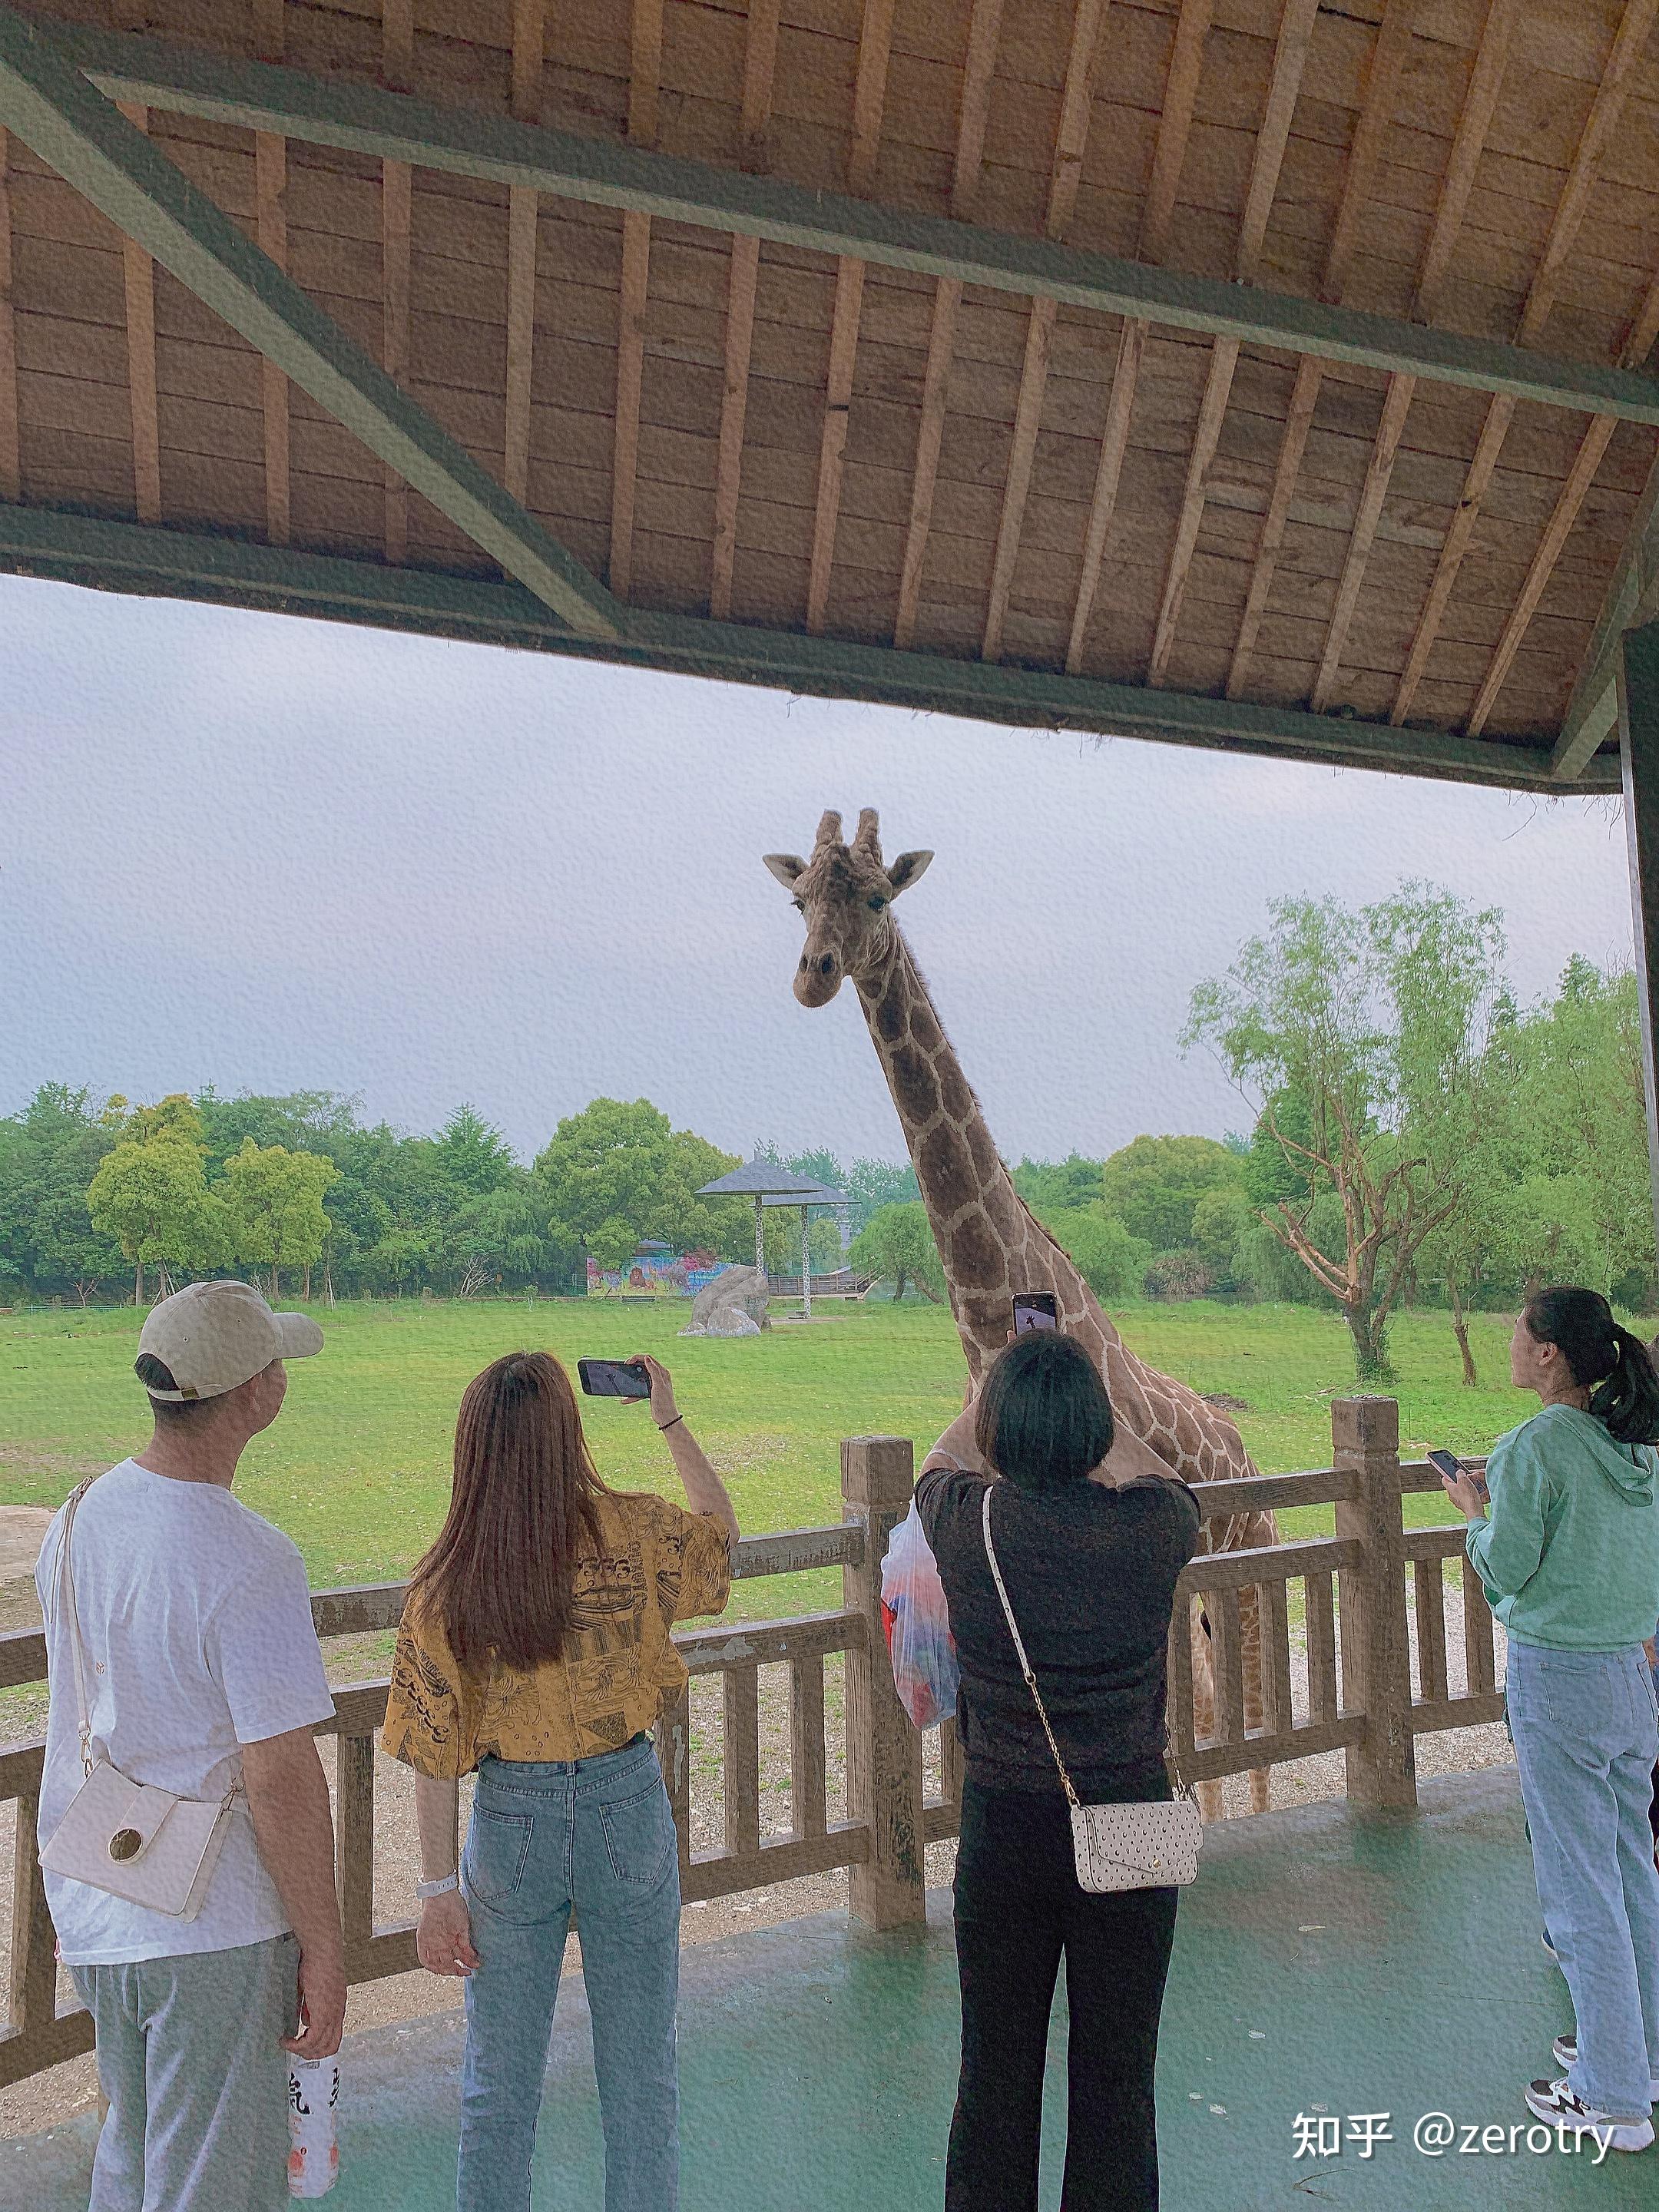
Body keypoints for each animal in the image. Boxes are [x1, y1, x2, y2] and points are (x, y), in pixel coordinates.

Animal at [770, 813, 1283, 1813]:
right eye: (799, 897)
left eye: (878, 897)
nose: (813, 975)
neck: (989, 1336)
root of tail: (1243, 1448)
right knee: (1214, 1711)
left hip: (1243, 1560)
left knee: (1253, 1716)